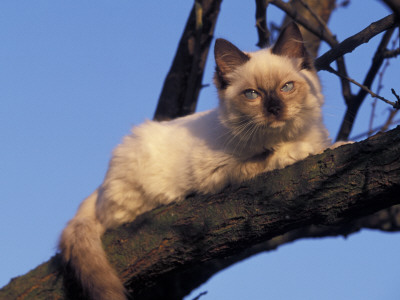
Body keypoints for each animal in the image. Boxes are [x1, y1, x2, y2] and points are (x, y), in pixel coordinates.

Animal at [58, 23, 332, 300]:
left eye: (286, 87)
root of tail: (100, 185)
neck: (285, 135)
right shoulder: (221, 171)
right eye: (252, 94)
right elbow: (268, 157)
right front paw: (302, 150)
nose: (275, 109)